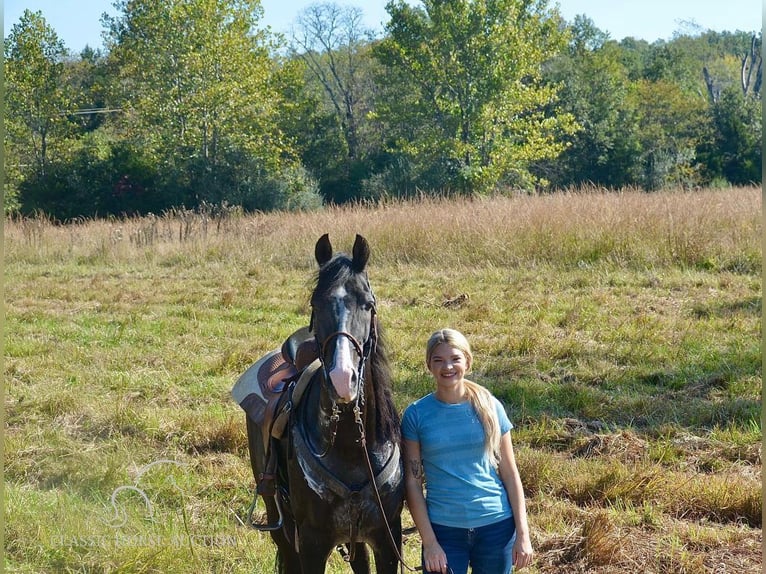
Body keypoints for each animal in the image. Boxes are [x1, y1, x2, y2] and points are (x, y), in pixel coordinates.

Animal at [248, 235, 408, 574]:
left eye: (368, 304)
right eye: (315, 304)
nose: (341, 378)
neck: (349, 447)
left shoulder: (388, 538)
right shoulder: (312, 542)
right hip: (279, 519)